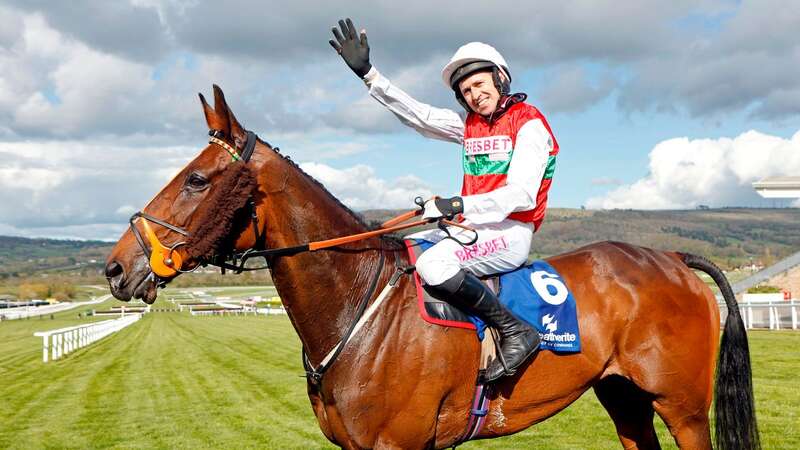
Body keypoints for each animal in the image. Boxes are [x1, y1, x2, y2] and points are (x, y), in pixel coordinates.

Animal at [104, 86, 756, 448]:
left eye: (195, 179)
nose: (115, 268)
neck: (359, 310)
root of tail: (672, 258)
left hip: (683, 409)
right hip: (624, 397)